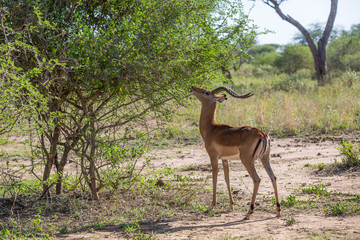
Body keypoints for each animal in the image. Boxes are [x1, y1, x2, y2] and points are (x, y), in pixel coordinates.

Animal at [190, 86, 280, 219]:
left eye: (207, 92)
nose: (192, 88)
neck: (210, 128)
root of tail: (262, 134)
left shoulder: (213, 157)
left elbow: (215, 177)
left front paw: (212, 205)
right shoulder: (225, 159)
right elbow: (227, 178)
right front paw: (231, 205)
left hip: (247, 161)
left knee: (257, 179)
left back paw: (248, 213)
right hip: (264, 159)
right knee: (273, 177)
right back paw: (278, 211)